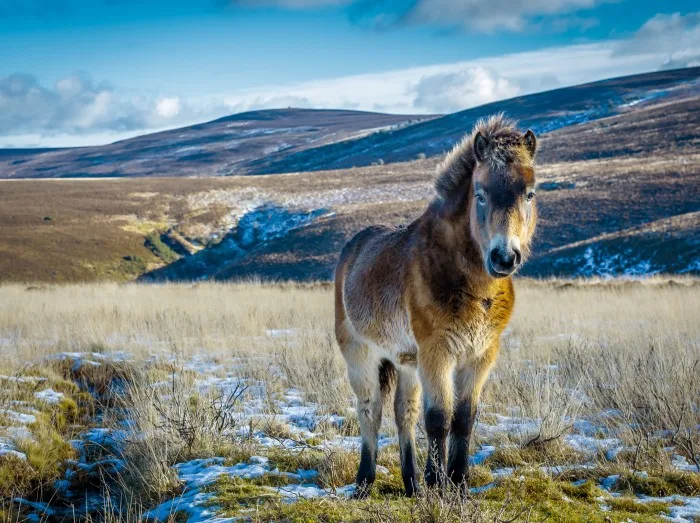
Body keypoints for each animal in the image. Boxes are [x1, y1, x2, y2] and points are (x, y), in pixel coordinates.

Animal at [336, 115, 540, 500]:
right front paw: (437, 485)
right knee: (371, 411)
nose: (504, 257)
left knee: (404, 412)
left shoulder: (481, 355)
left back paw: (411, 484)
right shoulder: (437, 353)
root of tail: (354, 245)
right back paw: (365, 482)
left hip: (406, 362)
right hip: (361, 354)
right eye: (480, 194)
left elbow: (464, 418)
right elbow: (439, 419)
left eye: (530, 193)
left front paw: (458, 485)